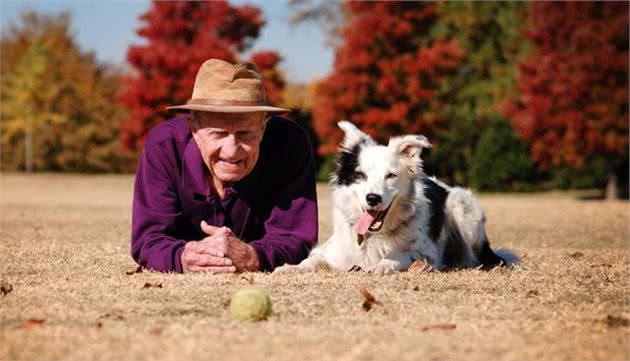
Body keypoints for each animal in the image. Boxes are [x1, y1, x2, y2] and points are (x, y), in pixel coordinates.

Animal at [276, 121, 520, 272]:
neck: (372, 237)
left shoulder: (426, 253)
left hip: (462, 207)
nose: (372, 198)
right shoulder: (332, 251)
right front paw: (291, 268)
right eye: (360, 175)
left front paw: (382, 266)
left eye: (391, 175)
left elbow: (399, 257)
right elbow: (312, 259)